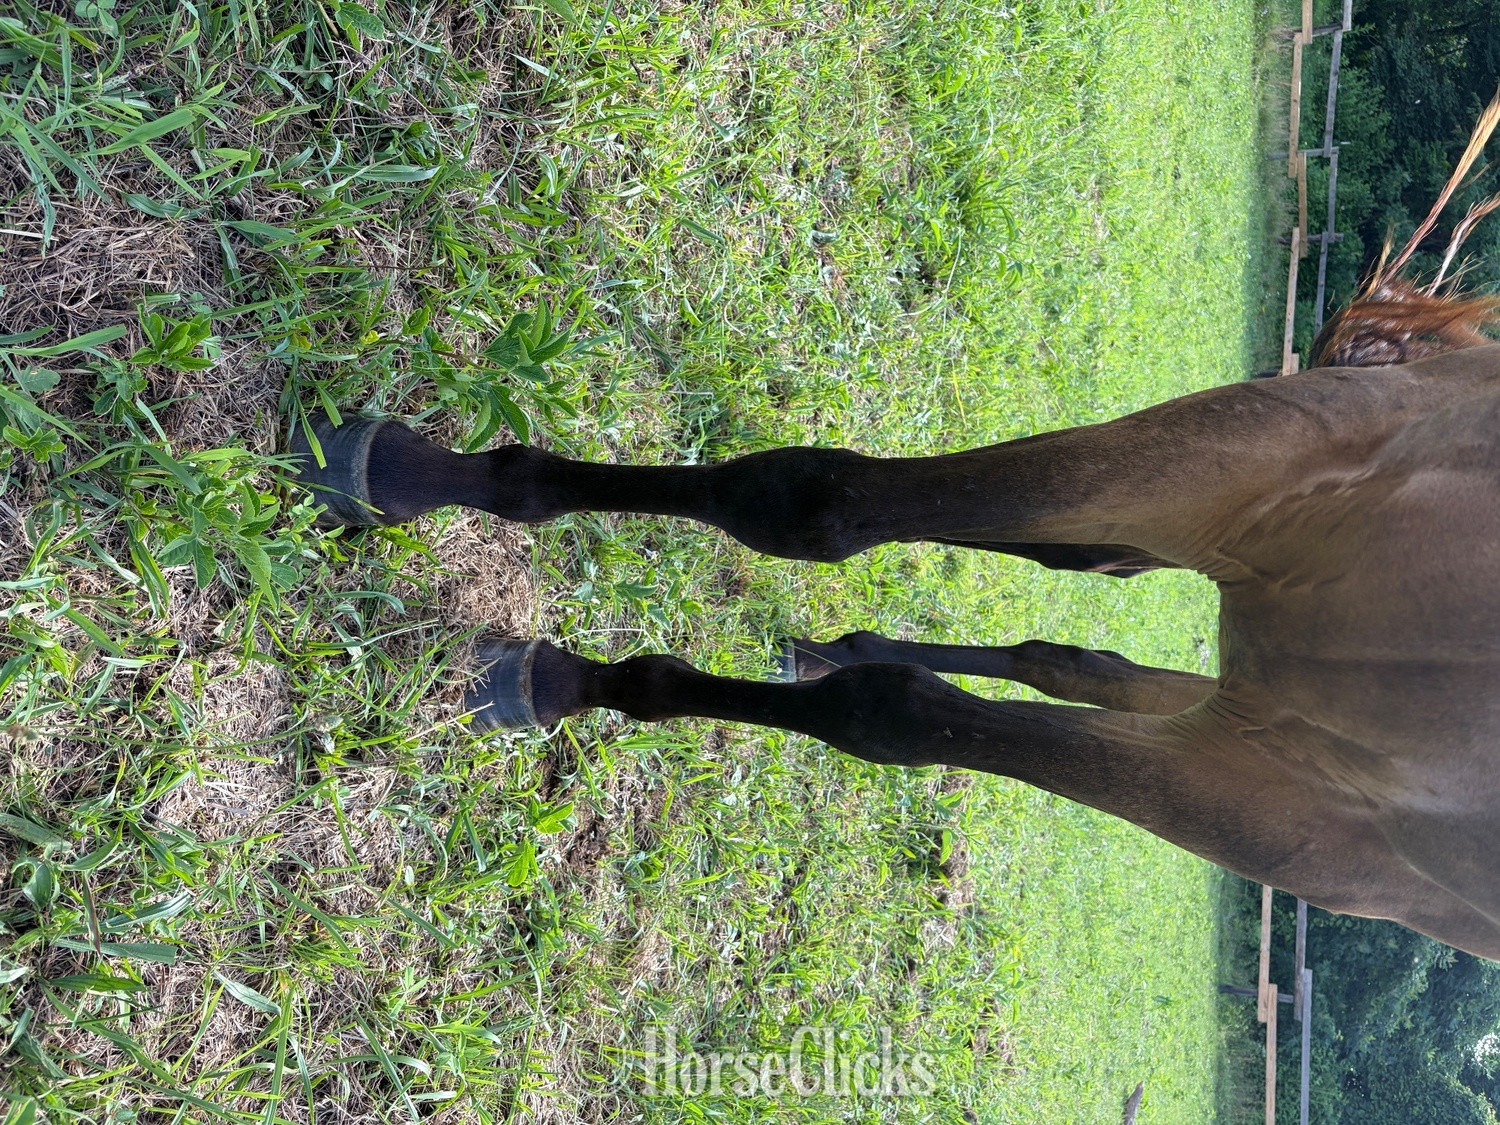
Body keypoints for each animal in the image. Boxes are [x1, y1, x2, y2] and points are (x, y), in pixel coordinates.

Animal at [291, 99, 1500, 961]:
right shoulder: (1268, 466)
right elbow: (806, 503)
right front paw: (406, 474)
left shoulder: (1314, 828)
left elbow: (890, 712)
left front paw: (568, 678)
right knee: (1074, 616)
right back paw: (832, 640)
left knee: (1072, 640)